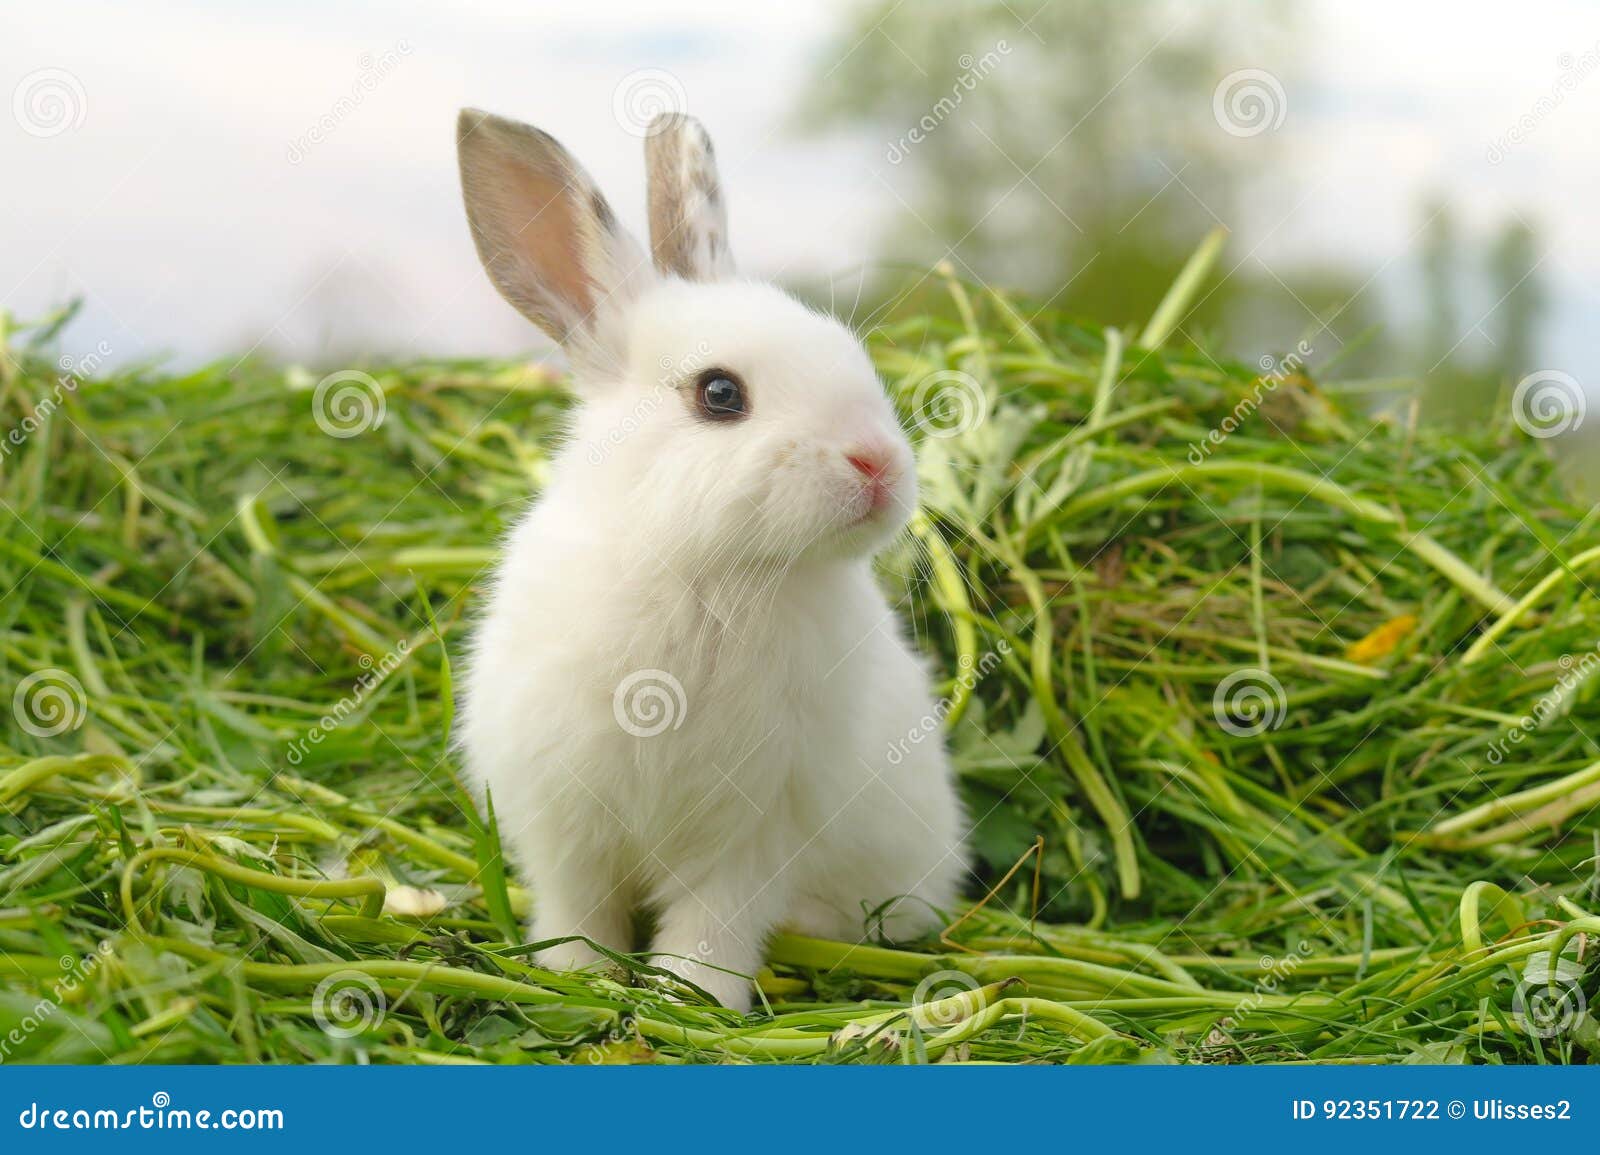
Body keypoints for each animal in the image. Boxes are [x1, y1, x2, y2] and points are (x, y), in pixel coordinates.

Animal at [457, 107, 966, 1011]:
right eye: (720, 394)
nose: (879, 465)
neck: (711, 571)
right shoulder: (561, 813)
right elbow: (577, 902)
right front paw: (575, 973)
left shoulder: (755, 832)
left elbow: (712, 923)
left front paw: (687, 997)